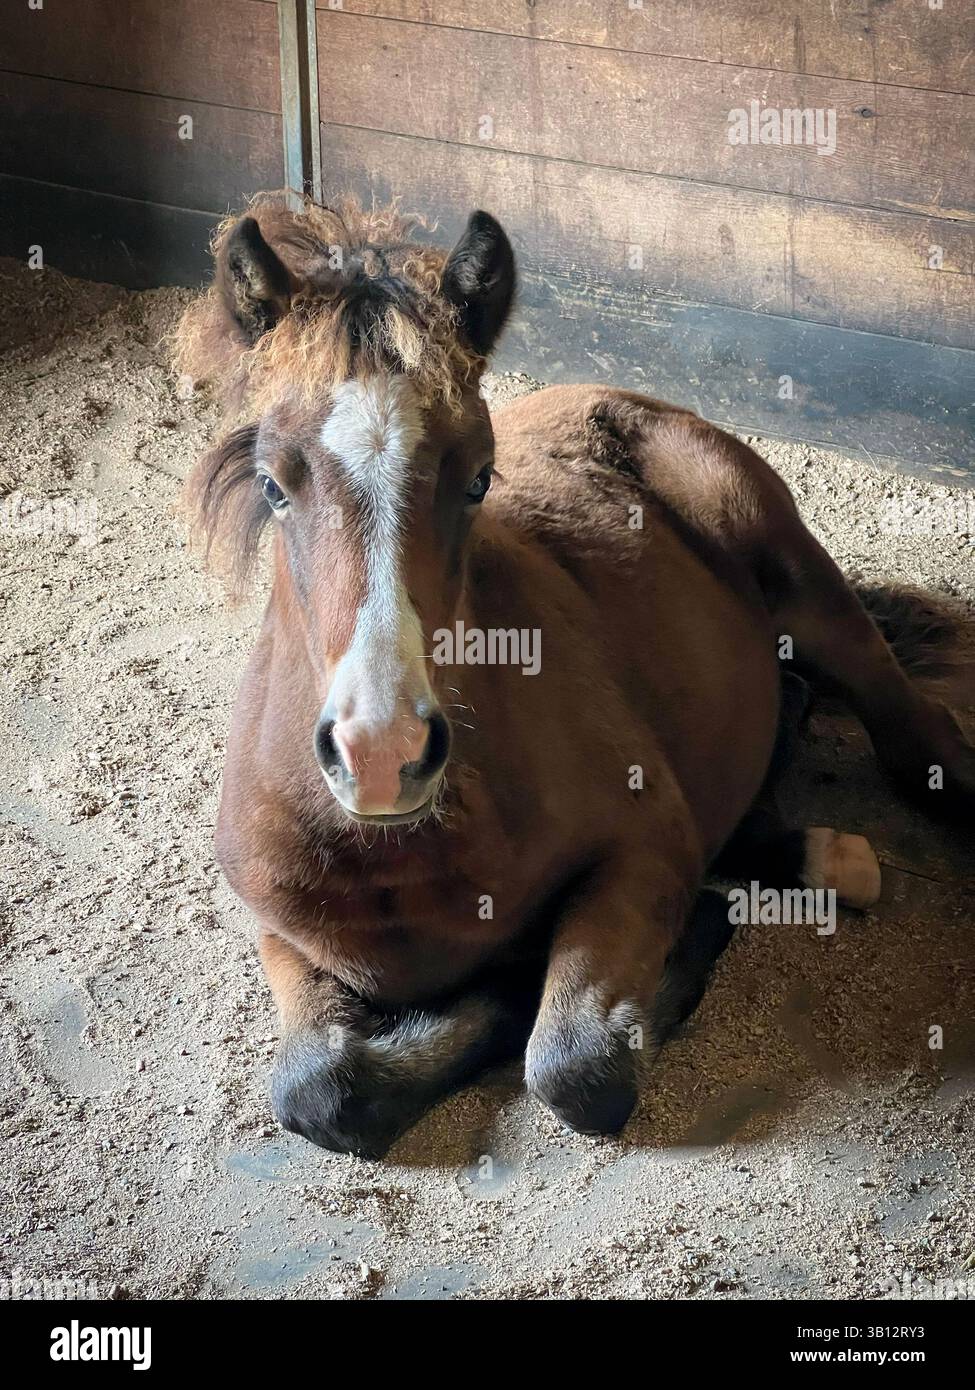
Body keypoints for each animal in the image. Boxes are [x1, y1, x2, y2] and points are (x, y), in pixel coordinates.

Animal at [175, 194, 975, 1157]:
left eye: (478, 479)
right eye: (273, 483)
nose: (382, 754)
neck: (401, 855)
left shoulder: (643, 846)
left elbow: (576, 1069)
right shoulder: (280, 930)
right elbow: (318, 1089)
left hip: (801, 580)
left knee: (917, 740)